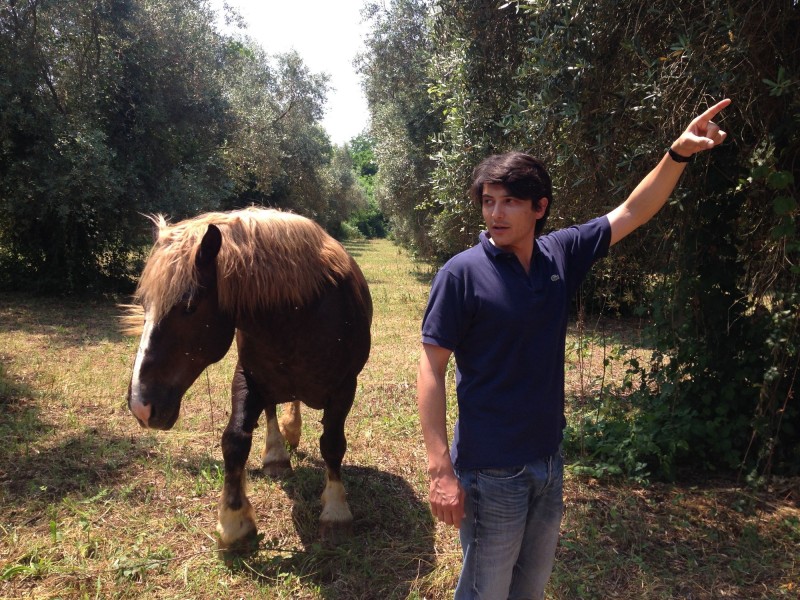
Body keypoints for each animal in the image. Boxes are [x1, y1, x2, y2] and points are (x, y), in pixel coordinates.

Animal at [124, 207, 372, 548]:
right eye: (144, 305)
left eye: (188, 306)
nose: (141, 406)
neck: (300, 315)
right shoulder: (247, 379)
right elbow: (235, 440)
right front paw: (234, 523)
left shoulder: (344, 388)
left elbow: (332, 444)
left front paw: (336, 512)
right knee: (271, 410)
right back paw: (277, 455)